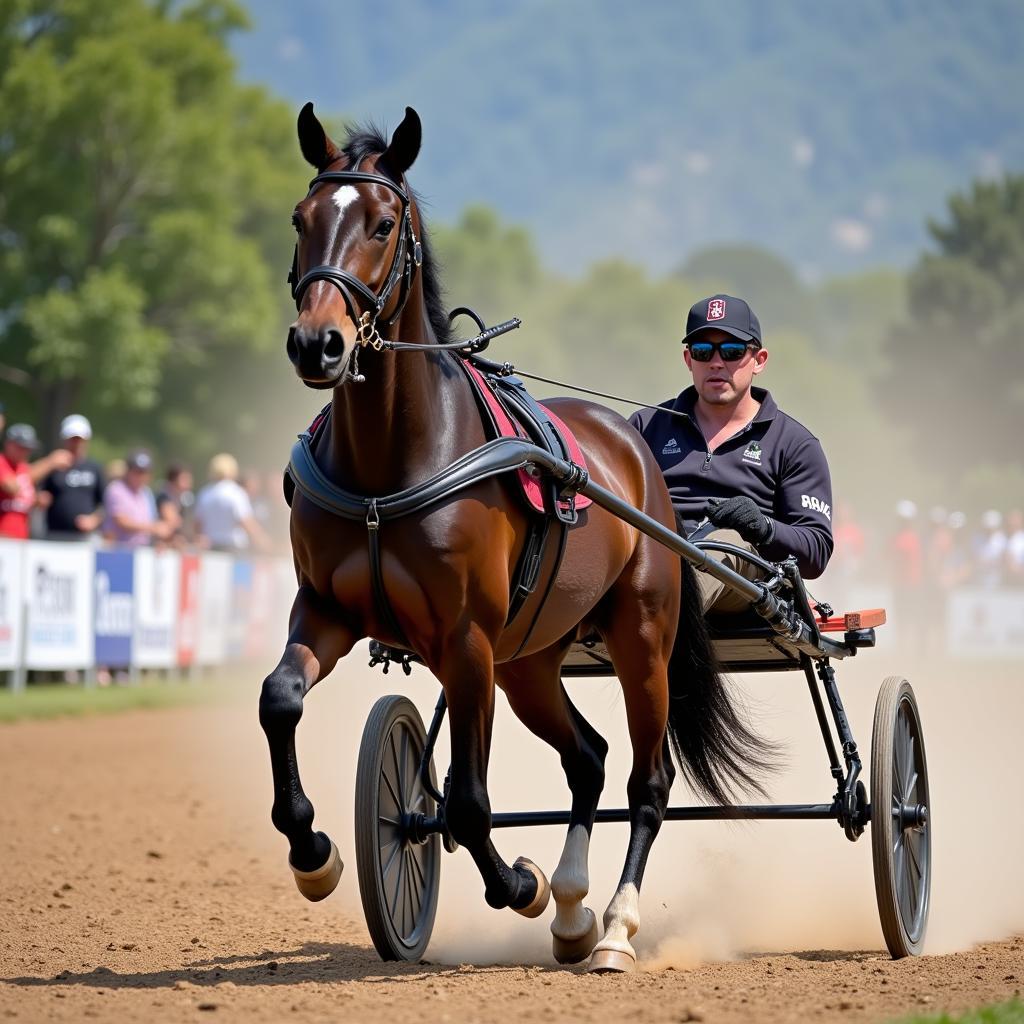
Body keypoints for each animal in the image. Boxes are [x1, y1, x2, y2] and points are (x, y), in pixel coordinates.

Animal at [256, 103, 770, 974]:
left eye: (385, 223)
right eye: (300, 217)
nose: (317, 344)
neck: (389, 466)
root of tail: (634, 450)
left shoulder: (466, 641)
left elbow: (468, 803)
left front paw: (520, 885)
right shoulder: (324, 609)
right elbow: (281, 698)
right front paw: (313, 854)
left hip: (639, 637)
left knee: (647, 780)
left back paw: (615, 927)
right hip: (531, 659)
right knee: (588, 757)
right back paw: (572, 910)